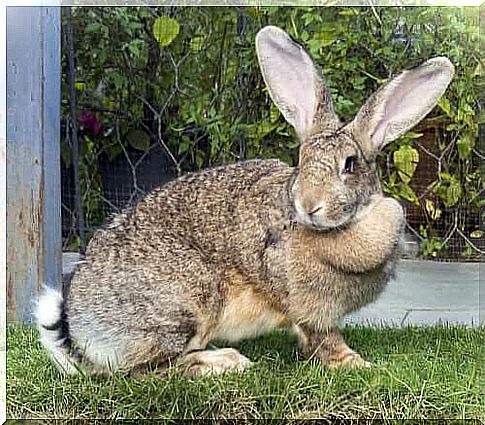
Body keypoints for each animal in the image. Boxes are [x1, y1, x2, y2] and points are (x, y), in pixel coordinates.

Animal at [35, 24, 454, 376]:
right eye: (301, 161)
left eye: (349, 165)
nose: (309, 206)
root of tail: (79, 331)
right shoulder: (308, 307)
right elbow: (324, 339)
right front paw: (357, 364)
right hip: (187, 300)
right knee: (149, 370)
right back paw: (224, 362)